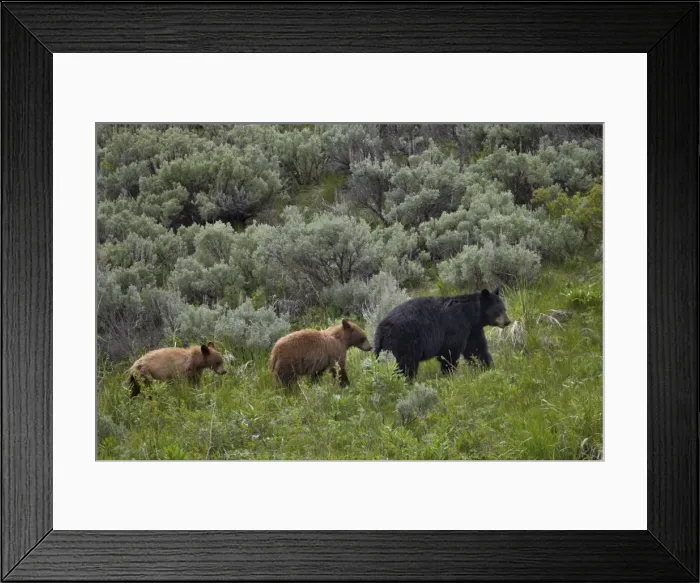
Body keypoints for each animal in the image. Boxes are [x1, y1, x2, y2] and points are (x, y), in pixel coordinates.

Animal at [373, 288, 510, 380]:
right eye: (497, 311)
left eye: (504, 309)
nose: (507, 321)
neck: (470, 315)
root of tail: (381, 330)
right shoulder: (456, 325)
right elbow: (450, 351)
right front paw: (448, 374)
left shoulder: (472, 330)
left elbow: (476, 349)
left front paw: (487, 367)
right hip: (405, 341)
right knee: (406, 364)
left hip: (383, 348)